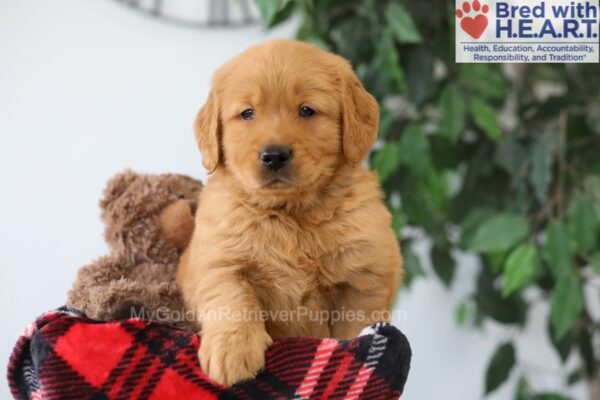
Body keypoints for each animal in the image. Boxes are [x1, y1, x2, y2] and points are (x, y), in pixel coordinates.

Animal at [177, 39, 404, 386]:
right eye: (247, 113)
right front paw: (231, 351)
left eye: (307, 110)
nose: (274, 155)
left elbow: (354, 327)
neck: (290, 214)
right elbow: (231, 297)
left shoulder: (364, 277)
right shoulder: (218, 258)